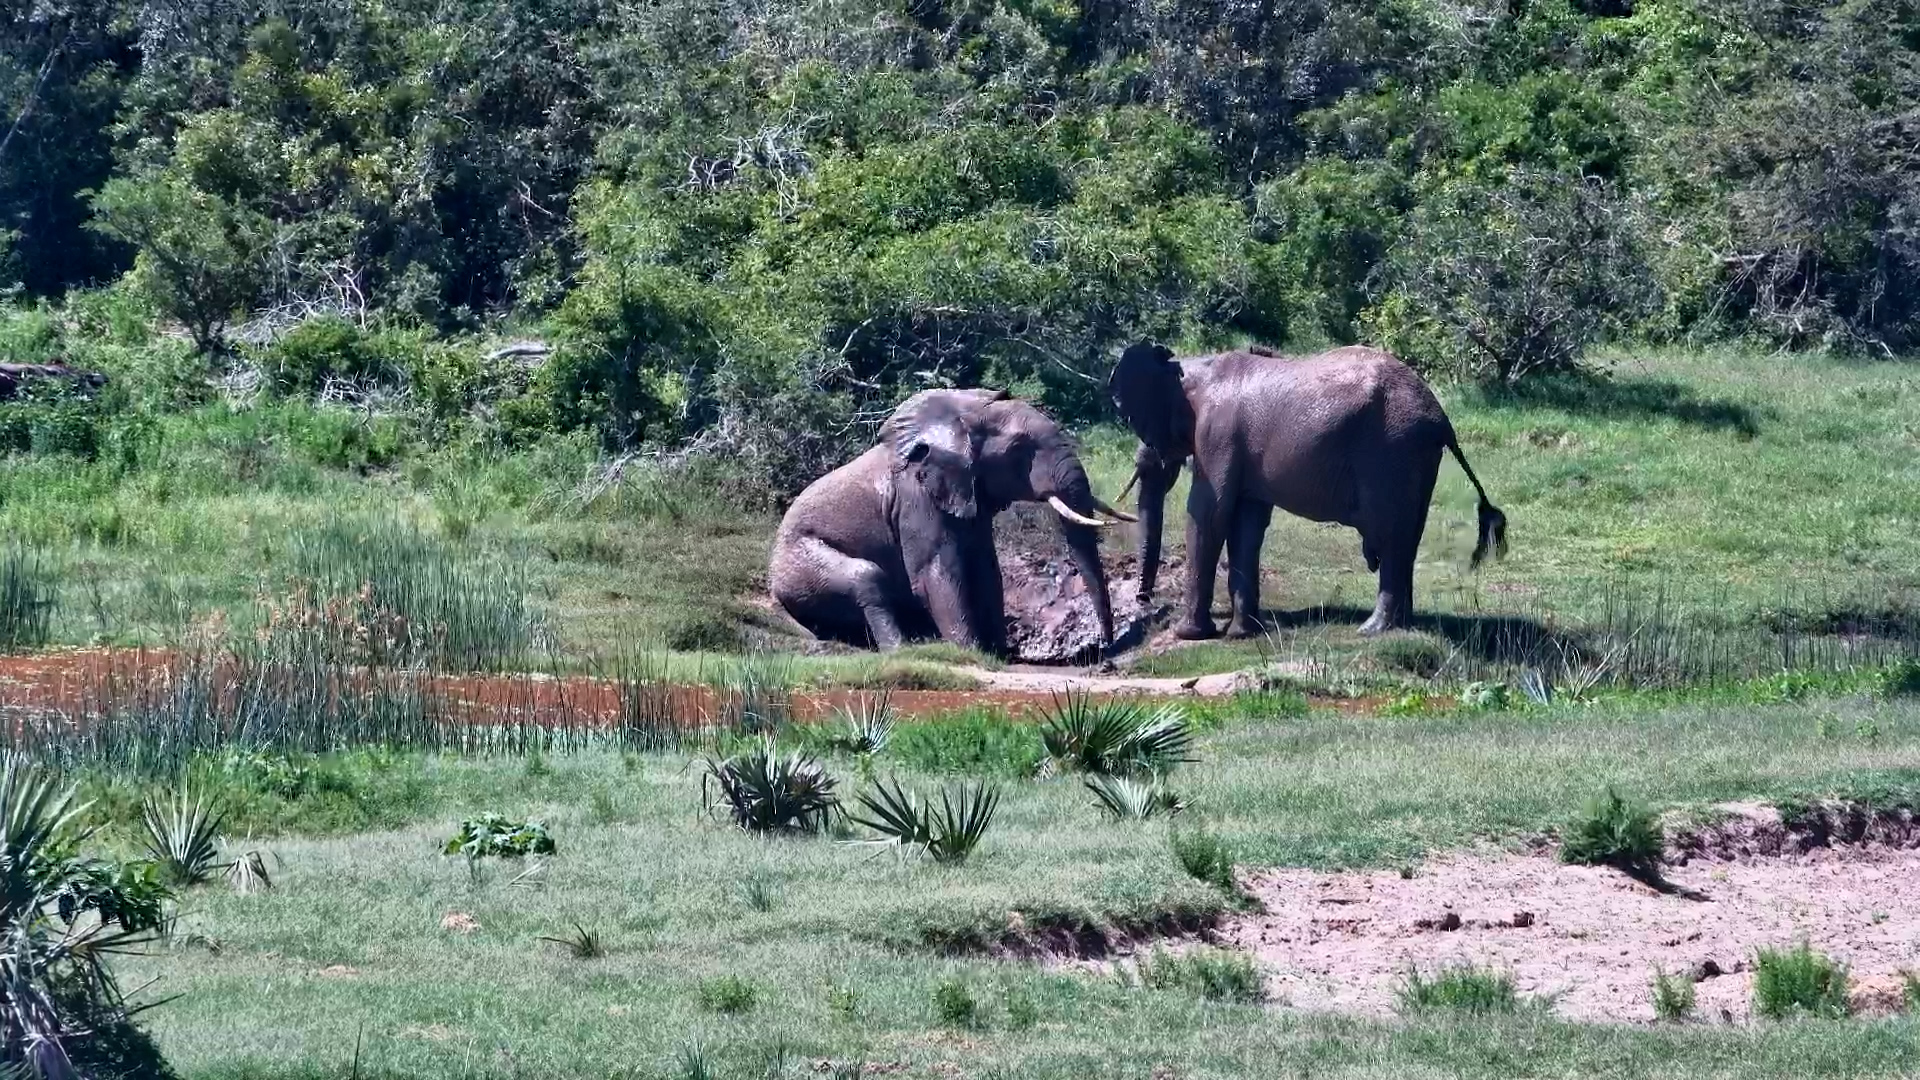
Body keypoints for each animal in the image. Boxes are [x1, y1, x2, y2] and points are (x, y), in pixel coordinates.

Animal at [769, 388, 1134, 654]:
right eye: (1019, 449)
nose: (1104, 649)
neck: (961, 415)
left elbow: (987, 569)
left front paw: (1001, 652)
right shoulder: (915, 499)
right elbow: (937, 573)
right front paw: (970, 652)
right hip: (800, 564)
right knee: (866, 579)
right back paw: (901, 650)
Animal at [1108, 341, 1508, 639]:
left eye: (1134, 421)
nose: (1144, 600)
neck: (1192, 367)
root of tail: (1442, 418)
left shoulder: (1216, 436)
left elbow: (1209, 514)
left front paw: (1190, 635)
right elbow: (1247, 523)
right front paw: (1242, 634)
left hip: (1394, 451)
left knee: (1391, 538)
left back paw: (1372, 630)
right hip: (1417, 458)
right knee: (1407, 537)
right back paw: (1402, 627)